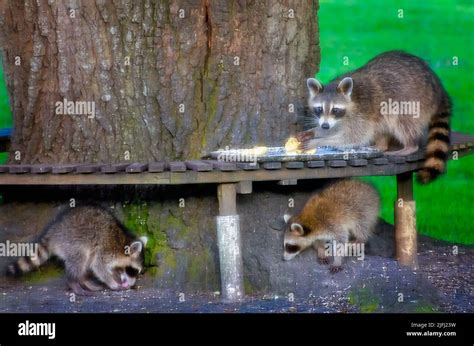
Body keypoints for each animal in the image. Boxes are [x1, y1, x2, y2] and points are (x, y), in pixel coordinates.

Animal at [6, 205, 147, 294]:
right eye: (133, 270)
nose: (132, 284)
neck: (123, 241)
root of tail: (54, 232)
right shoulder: (106, 250)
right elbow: (99, 267)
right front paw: (113, 283)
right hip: (72, 242)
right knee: (80, 259)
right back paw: (74, 282)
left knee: (86, 262)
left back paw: (83, 281)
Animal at [300, 50, 452, 184]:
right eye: (319, 108)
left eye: (335, 109)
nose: (324, 125)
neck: (350, 98)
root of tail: (439, 89)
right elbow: (338, 129)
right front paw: (315, 131)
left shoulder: (361, 113)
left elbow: (354, 137)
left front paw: (319, 141)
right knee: (381, 127)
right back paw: (381, 145)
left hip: (414, 102)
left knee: (402, 123)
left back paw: (409, 145)